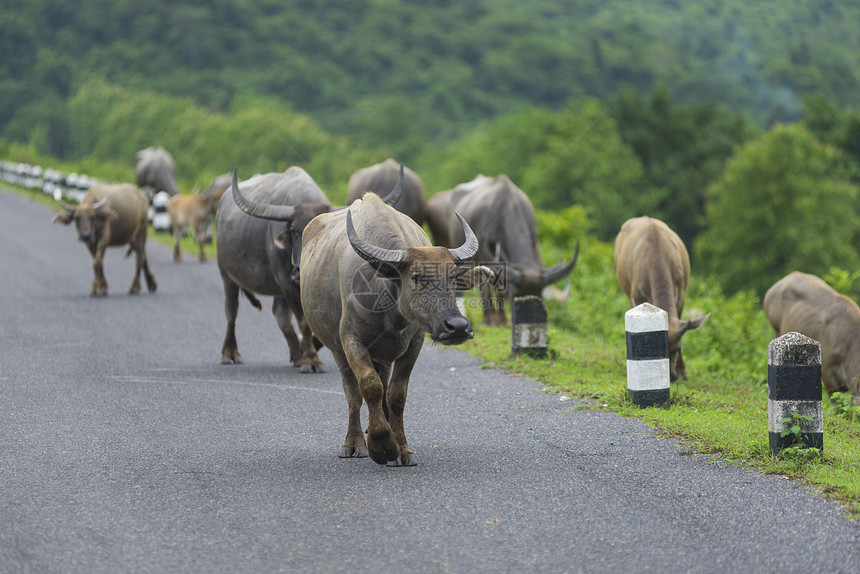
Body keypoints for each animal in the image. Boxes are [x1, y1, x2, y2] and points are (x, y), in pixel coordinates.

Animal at [217, 166, 330, 374]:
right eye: (294, 231)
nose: (300, 270)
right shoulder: (286, 282)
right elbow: (304, 323)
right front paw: (310, 360)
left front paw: (306, 353)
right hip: (227, 274)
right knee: (231, 310)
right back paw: (229, 353)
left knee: (280, 315)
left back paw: (296, 354)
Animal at [300, 194, 490, 468]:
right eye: (417, 277)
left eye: (453, 276)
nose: (457, 327)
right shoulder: (351, 341)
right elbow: (368, 386)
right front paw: (381, 445)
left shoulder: (414, 343)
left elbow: (396, 395)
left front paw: (401, 448)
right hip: (337, 349)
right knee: (353, 393)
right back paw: (355, 442)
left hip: (383, 356)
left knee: (383, 388)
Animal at [436, 176, 576, 326]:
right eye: (515, 295)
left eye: (538, 296)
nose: (526, 318)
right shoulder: (486, 254)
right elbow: (493, 287)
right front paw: (495, 320)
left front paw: (503, 320)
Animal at [616, 216, 708, 382]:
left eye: (678, 348)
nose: (672, 376)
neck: (657, 259)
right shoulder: (636, 295)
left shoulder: (681, 294)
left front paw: (683, 372)